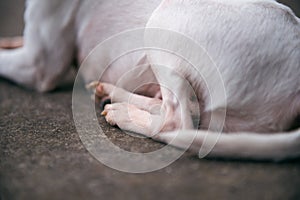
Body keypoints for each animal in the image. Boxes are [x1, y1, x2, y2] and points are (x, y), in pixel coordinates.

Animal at [0, 0, 300, 160]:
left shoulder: (39, 65)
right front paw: (9, 40)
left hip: (167, 18)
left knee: (177, 121)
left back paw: (124, 115)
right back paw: (115, 95)